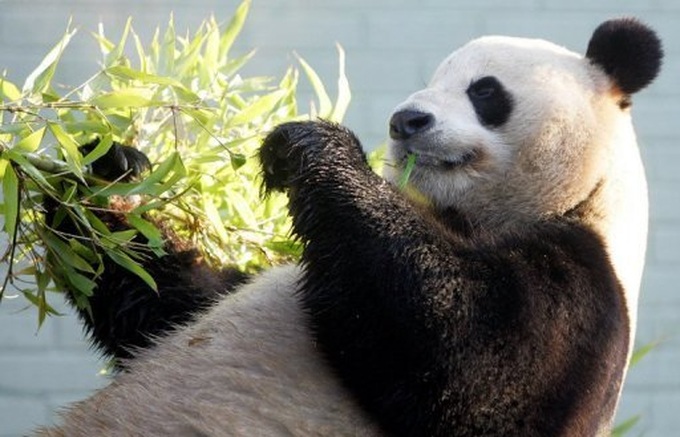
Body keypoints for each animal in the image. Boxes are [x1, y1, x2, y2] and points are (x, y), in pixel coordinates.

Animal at [37, 18, 662, 437]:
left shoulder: (582, 293)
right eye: (434, 79)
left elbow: (468, 362)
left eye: (484, 90)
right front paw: (104, 173)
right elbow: (169, 302)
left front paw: (314, 147)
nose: (406, 120)